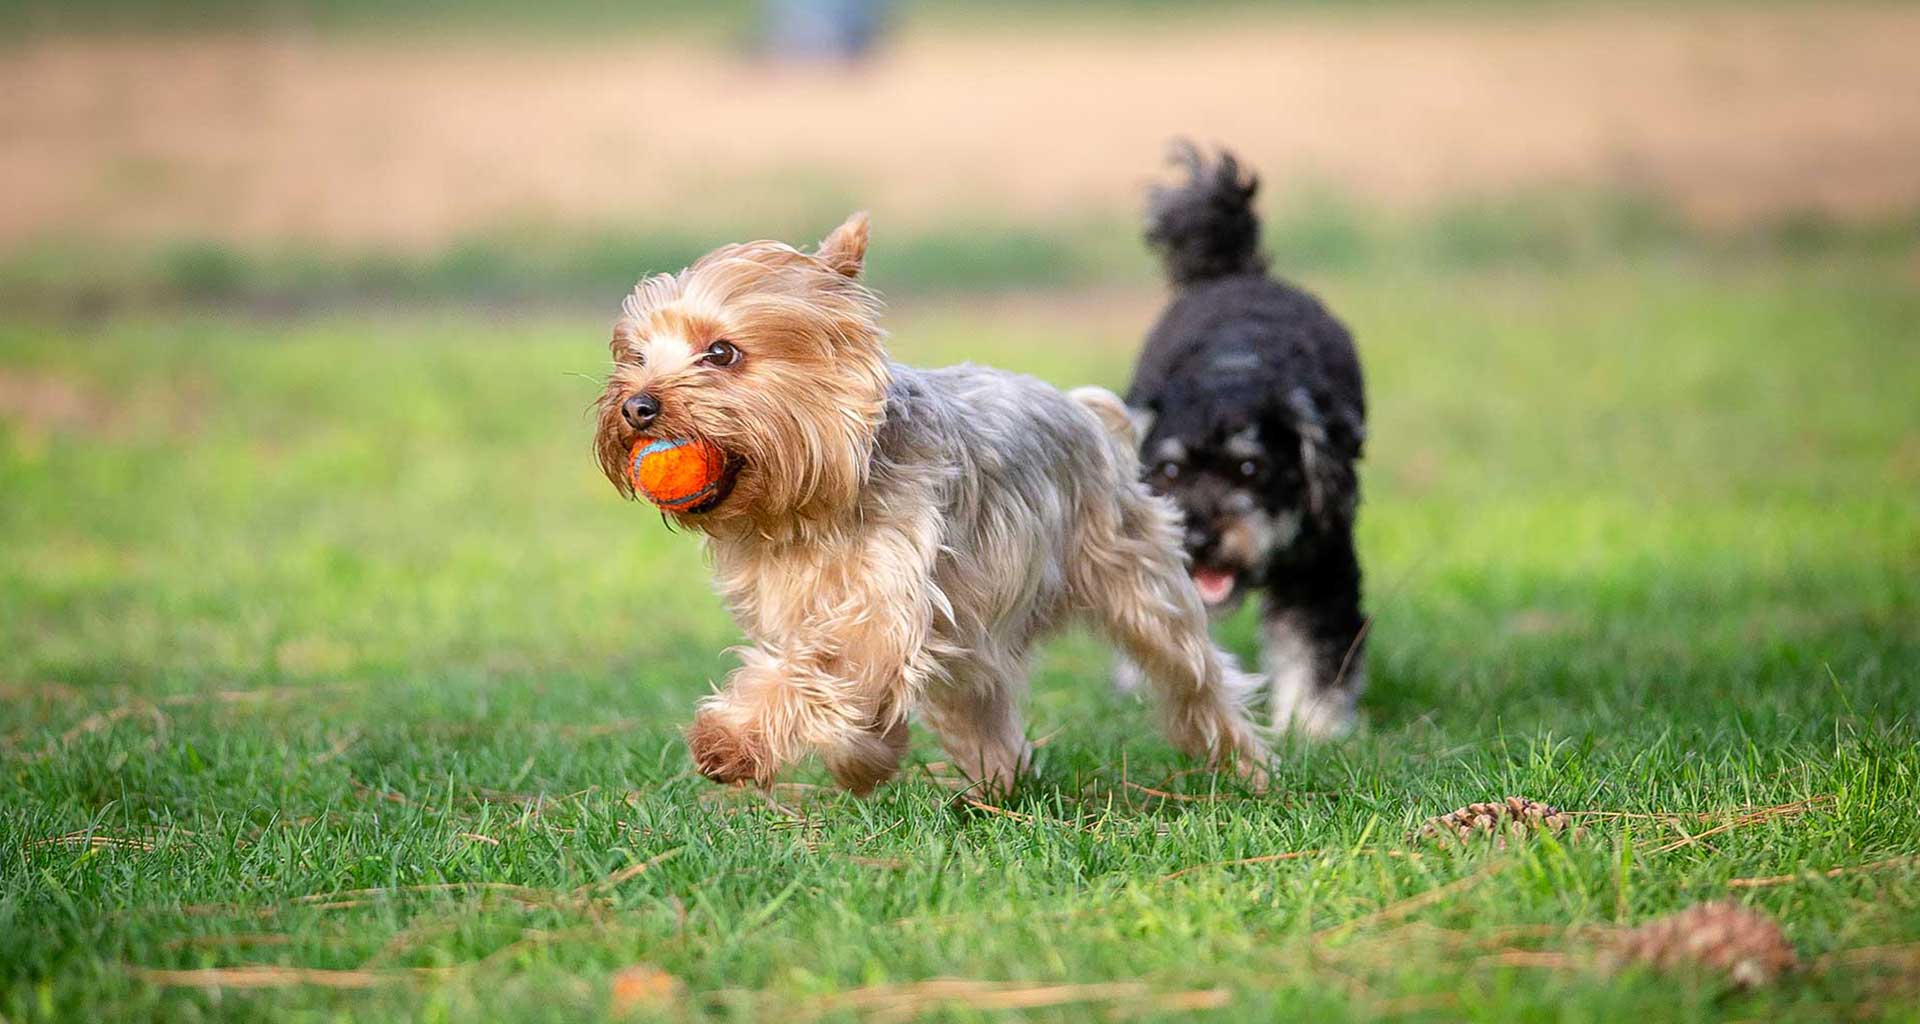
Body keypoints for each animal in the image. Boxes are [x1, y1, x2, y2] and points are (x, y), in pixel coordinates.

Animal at [1121, 144, 1374, 733]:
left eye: (1250, 469)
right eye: (1168, 471)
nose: (1200, 539)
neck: (1229, 368)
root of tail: (1235, 272)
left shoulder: (1320, 565)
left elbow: (1316, 645)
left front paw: (1313, 728)